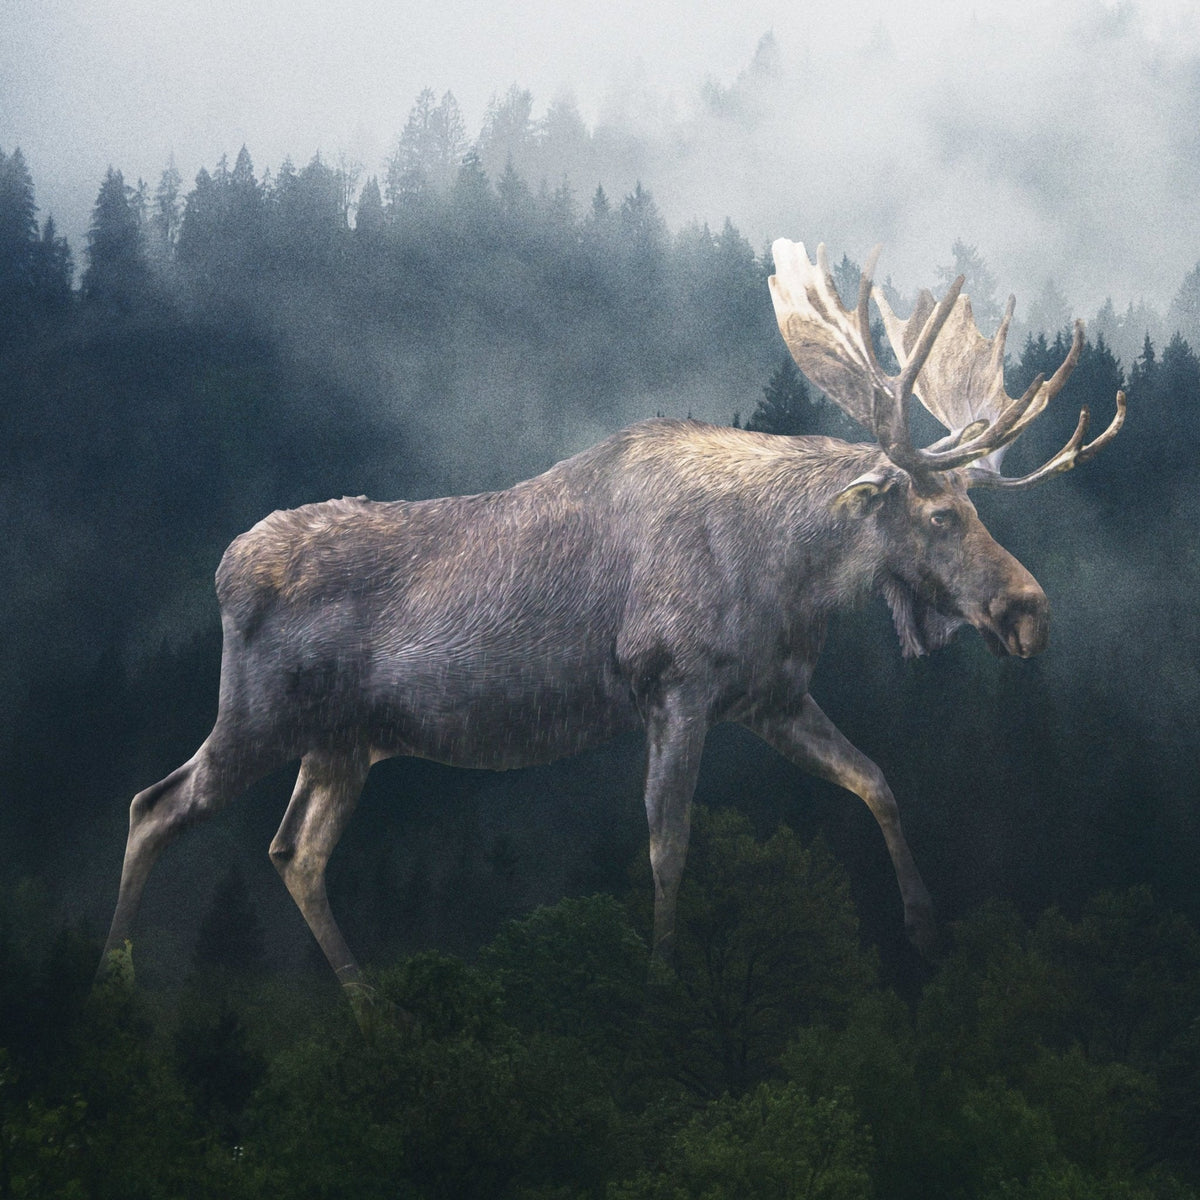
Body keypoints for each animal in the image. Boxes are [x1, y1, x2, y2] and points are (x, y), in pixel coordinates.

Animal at [99, 241, 1124, 1012]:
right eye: (941, 516)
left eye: (976, 509)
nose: (1029, 613)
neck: (787, 572)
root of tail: (226, 565)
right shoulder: (674, 686)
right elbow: (667, 847)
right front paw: (662, 987)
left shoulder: (773, 697)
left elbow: (877, 782)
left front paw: (922, 928)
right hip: (261, 715)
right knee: (155, 805)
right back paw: (114, 981)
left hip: (344, 743)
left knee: (294, 853)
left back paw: (373, 1007)